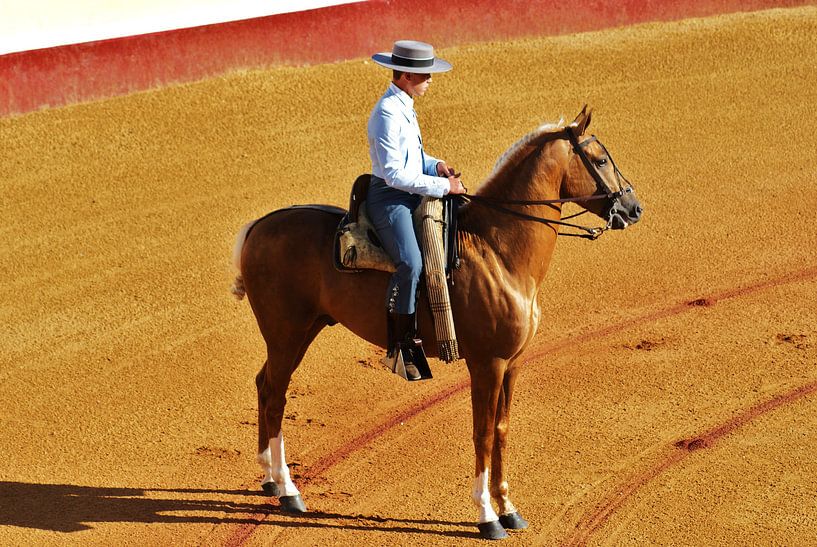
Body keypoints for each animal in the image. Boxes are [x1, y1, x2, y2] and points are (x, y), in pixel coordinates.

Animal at [231, 107, 644, 540]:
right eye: (600, 160)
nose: (633, 208)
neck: (497, 249)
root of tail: (258, 226)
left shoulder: (512, 364)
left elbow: (502, 430)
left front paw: (509, 509)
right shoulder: (488, 363)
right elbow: (482, 433)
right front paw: (487, 515)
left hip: (304, 330)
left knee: (264, 386)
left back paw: (270, 480)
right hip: (286, 333)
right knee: (276, 396)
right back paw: (289, 491)